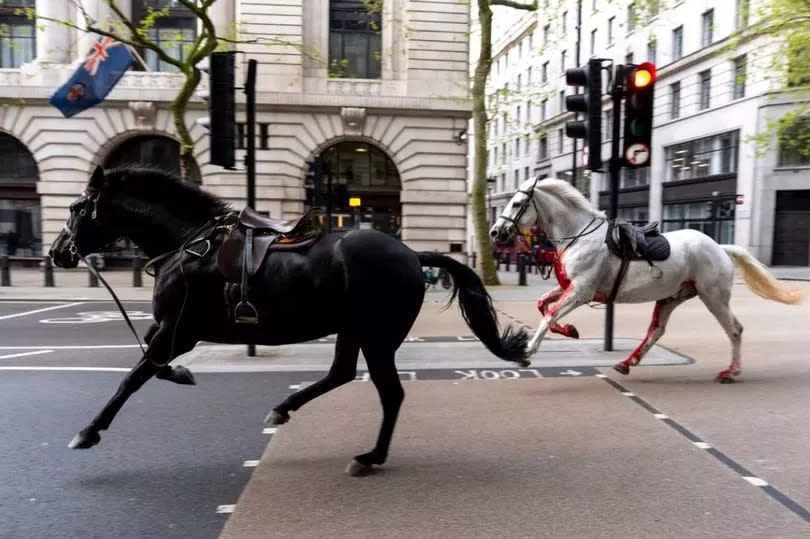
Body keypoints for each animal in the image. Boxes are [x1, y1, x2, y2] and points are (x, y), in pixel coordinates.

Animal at [52, 167, 532, 474]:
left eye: (76, 208)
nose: (58, 253)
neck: (189, 245)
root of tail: (414, 255)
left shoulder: (178, 330)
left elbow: (133, 377)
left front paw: (88, 431)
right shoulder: (168, 330)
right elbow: (148, 365)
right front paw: (182, 374)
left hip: (376, 336)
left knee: (390, 393)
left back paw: (370, 457)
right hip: (354, 330)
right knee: (342, 373)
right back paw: (286, 409)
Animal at [486, 178, 800, 384]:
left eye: (517, 203)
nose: (495, 232)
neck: (578, 236)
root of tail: (720, 247)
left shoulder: (581, 292)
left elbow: (549, 314)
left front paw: (527, 351)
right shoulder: (569, 288)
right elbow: (543, 305)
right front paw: (570, 330)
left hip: (713, 296)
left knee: (734, 330)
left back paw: (730, 372)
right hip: (672, 297)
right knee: (656, 331)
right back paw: (628, 363)